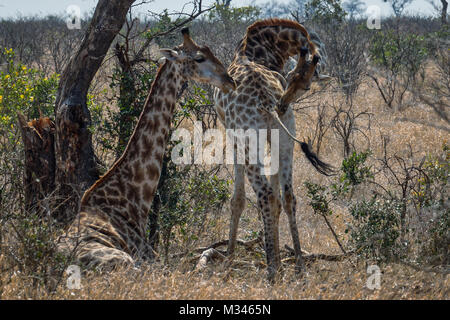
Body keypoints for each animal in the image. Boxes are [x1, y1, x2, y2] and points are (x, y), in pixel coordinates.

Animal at [213, 19, 332, 280]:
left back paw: (272, 271)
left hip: (250, 143)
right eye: (290, 76)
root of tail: (266, 100)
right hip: (286, 139)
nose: (283, 104)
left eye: (307, 86)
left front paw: (228, 264)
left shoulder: (233, 137)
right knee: (287, 197)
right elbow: (279, 197)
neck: (258, 48)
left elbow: (237, 199)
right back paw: (298, 267)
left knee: (266, 195)